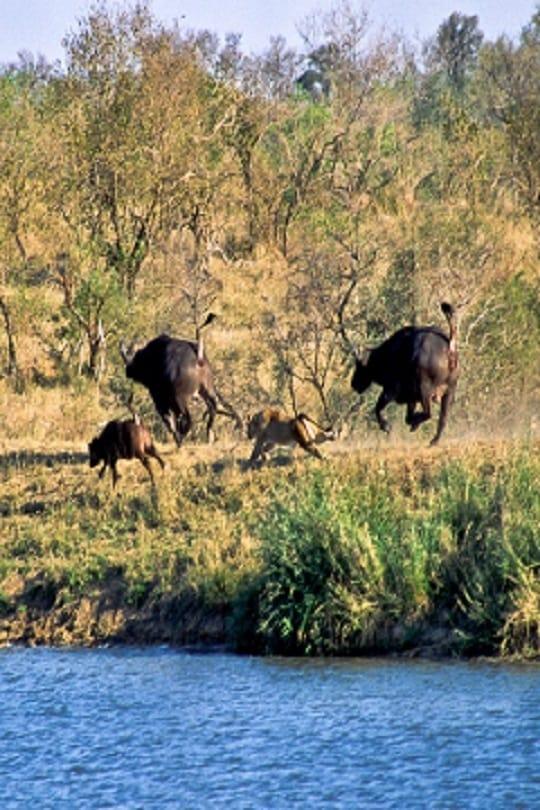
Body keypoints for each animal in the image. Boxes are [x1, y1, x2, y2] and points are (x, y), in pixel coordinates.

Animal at [348, 300, 458, 446]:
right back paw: (433, 440)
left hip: (425, 390)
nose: (353, 384)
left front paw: (386, 426)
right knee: (442, 419)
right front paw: (412, 423)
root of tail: (449, 346)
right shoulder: (411, 398)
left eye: (359, 366)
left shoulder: (390, 390)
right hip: (449, 391)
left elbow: (377, 408)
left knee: (428, 413)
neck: (386, 355)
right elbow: (407, 417)